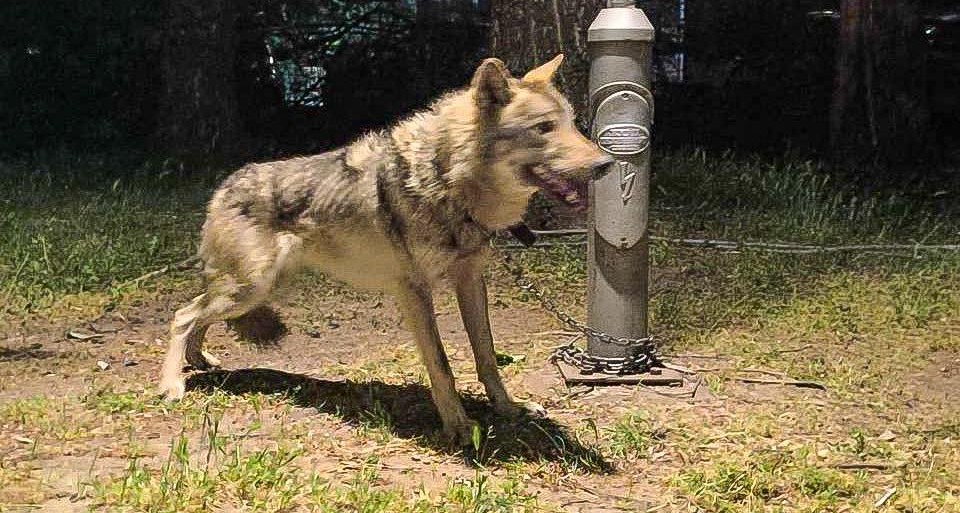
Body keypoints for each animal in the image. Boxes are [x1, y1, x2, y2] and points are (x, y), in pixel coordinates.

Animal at [158, 54, 613, 445]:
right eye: (544, 128)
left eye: (572, 124)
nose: (606, 164)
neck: (446, 182)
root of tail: (223, 185)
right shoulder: (413, 291)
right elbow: (442, 365)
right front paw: (458, 427)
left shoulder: (470, 280)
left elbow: (486, 355)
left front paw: (509, 409)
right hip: (251, 288)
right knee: (183, 314)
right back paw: (173, 383)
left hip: (257, 290)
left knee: (197, 313)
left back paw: (199, 361)